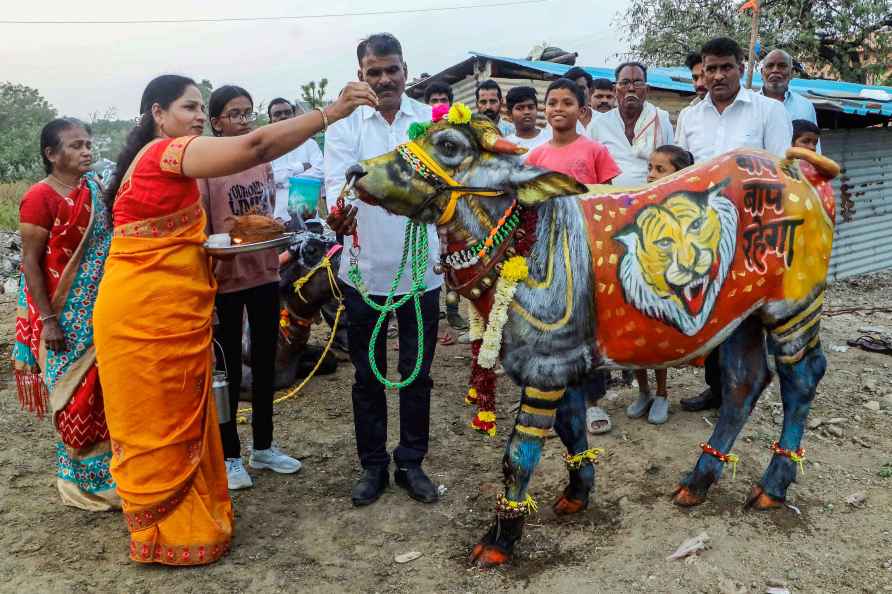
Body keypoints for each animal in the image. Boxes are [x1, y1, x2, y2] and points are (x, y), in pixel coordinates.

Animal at [350, 104, 844, 568]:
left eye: (449, 145)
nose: (358, 172)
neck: (528, 236)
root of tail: (795, 170)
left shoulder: (546, 367)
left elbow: (519, 454)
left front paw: (501, 538)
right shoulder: (562, 360)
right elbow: (570, 429)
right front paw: (577, 493)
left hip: (794, 307)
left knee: (801, 380)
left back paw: (773, 486)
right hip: (742, 317)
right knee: (744, 384)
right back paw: (699, 481)